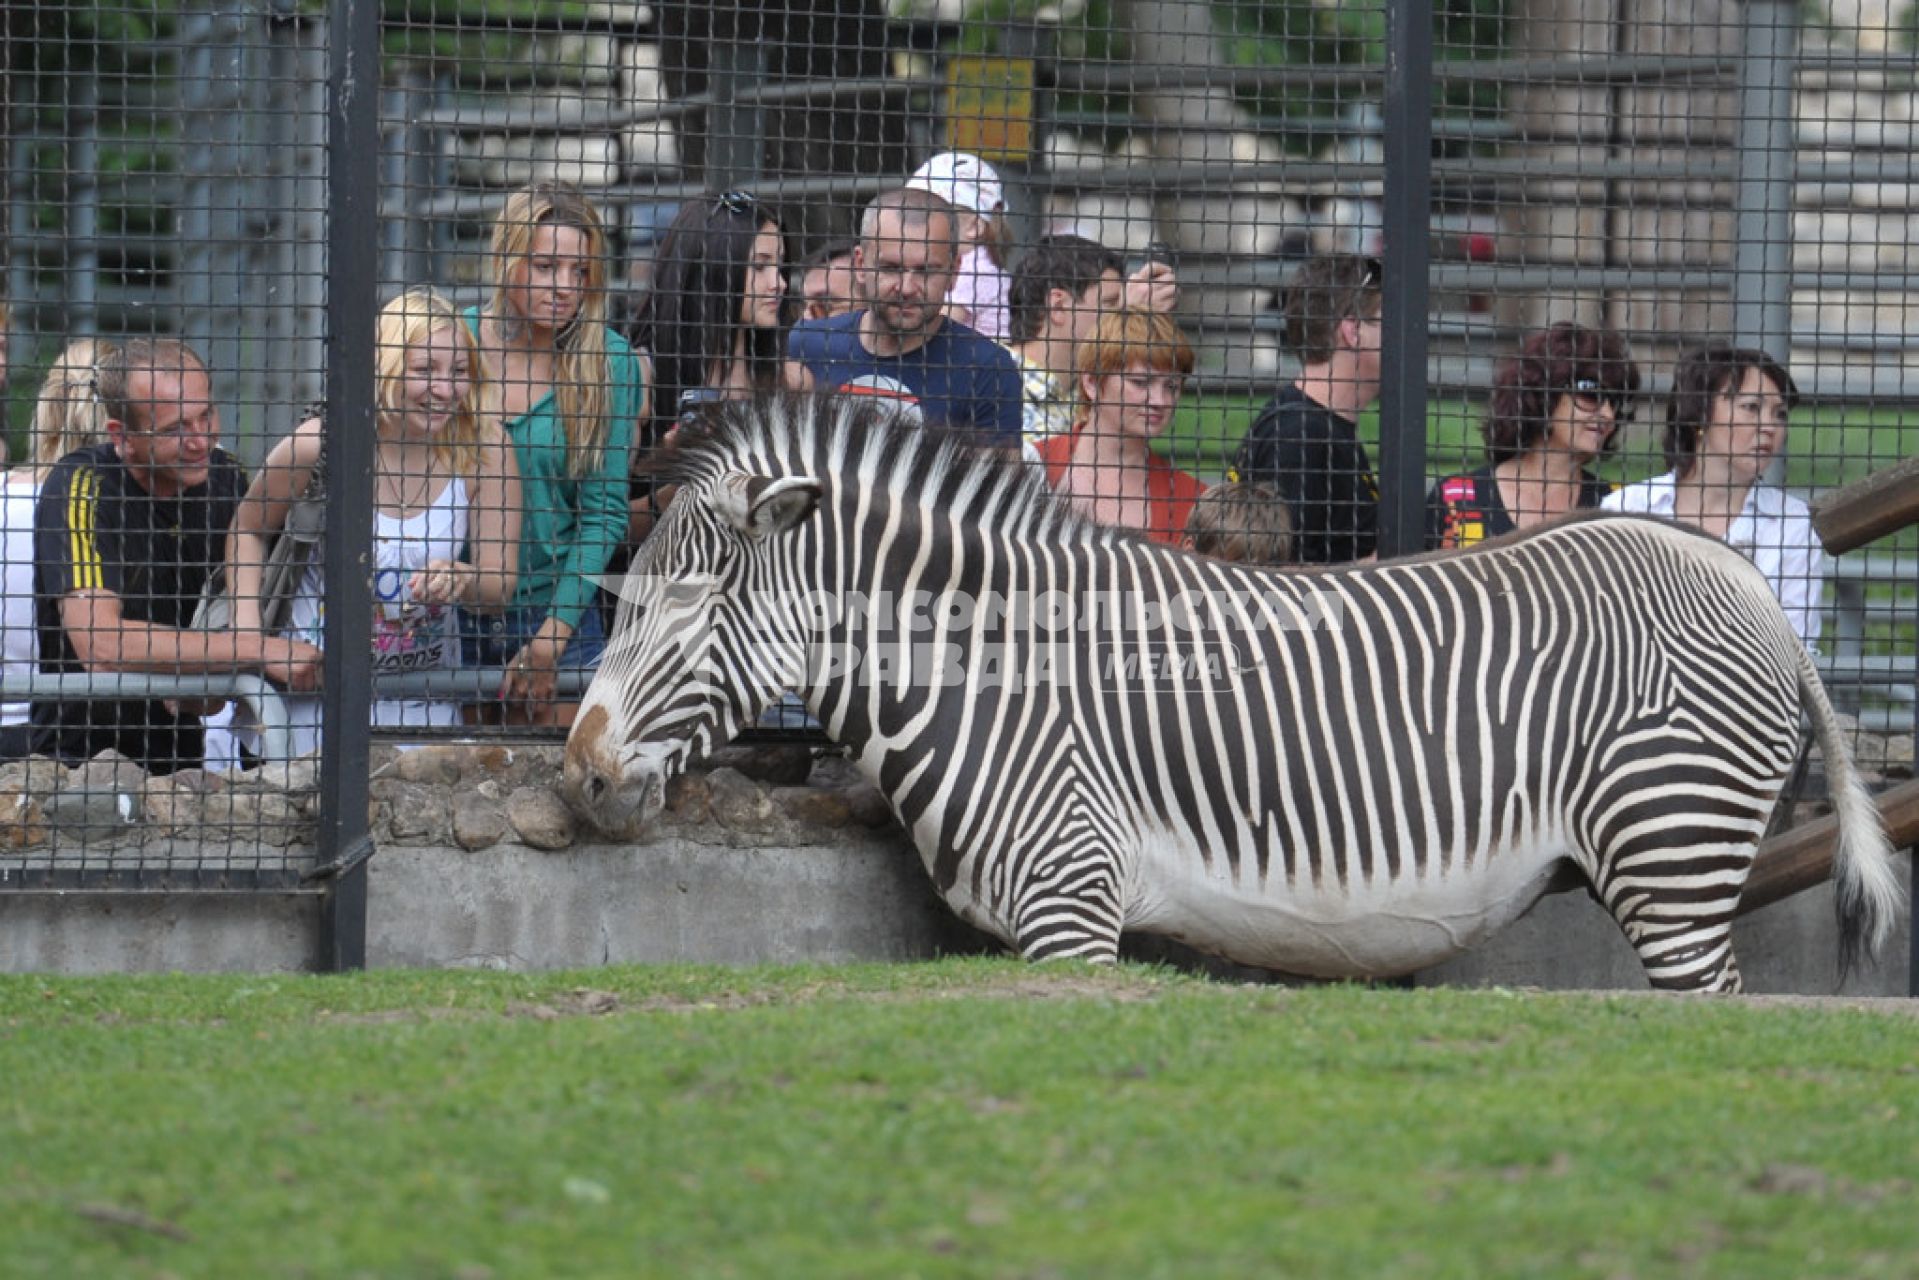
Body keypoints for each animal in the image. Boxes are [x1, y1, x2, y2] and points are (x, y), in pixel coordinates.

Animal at [560, 395, 1895, 997]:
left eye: (683, 605)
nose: (575, 771)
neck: (995, 671)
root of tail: (1735, 569)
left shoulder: (1072, 905)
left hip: (1670, 850)